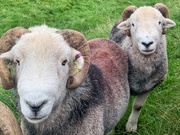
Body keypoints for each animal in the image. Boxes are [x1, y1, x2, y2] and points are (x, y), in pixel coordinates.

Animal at [108, 2, 176, 132]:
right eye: (133, 24)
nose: (147, 43)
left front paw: (131, 126)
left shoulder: (149, 86)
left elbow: (138, 106)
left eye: (160, 22)